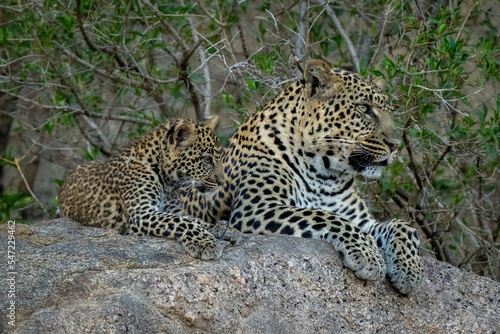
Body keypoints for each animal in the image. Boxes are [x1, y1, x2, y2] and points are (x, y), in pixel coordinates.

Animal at [180, 60, 422, 294]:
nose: (395, 145)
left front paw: (409, 272)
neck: (327, 175)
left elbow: (404, 226)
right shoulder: (256, 209)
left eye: (390, 112)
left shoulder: (360, 219)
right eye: (363, 108)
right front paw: (369, 255)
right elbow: (325, 216)